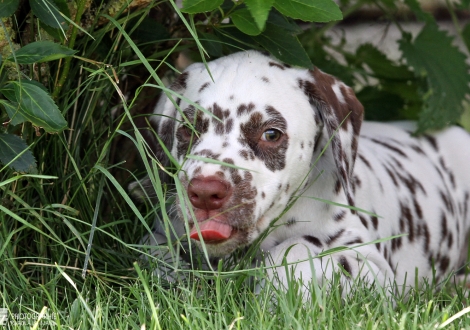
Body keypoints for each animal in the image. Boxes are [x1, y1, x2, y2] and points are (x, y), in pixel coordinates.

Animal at [134, 51, 468, 294]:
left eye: (270, 134)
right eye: (188, 129)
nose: (205, 191)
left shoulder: (373, 268)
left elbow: (293, 253)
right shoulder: (162, 236)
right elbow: (155, 255)